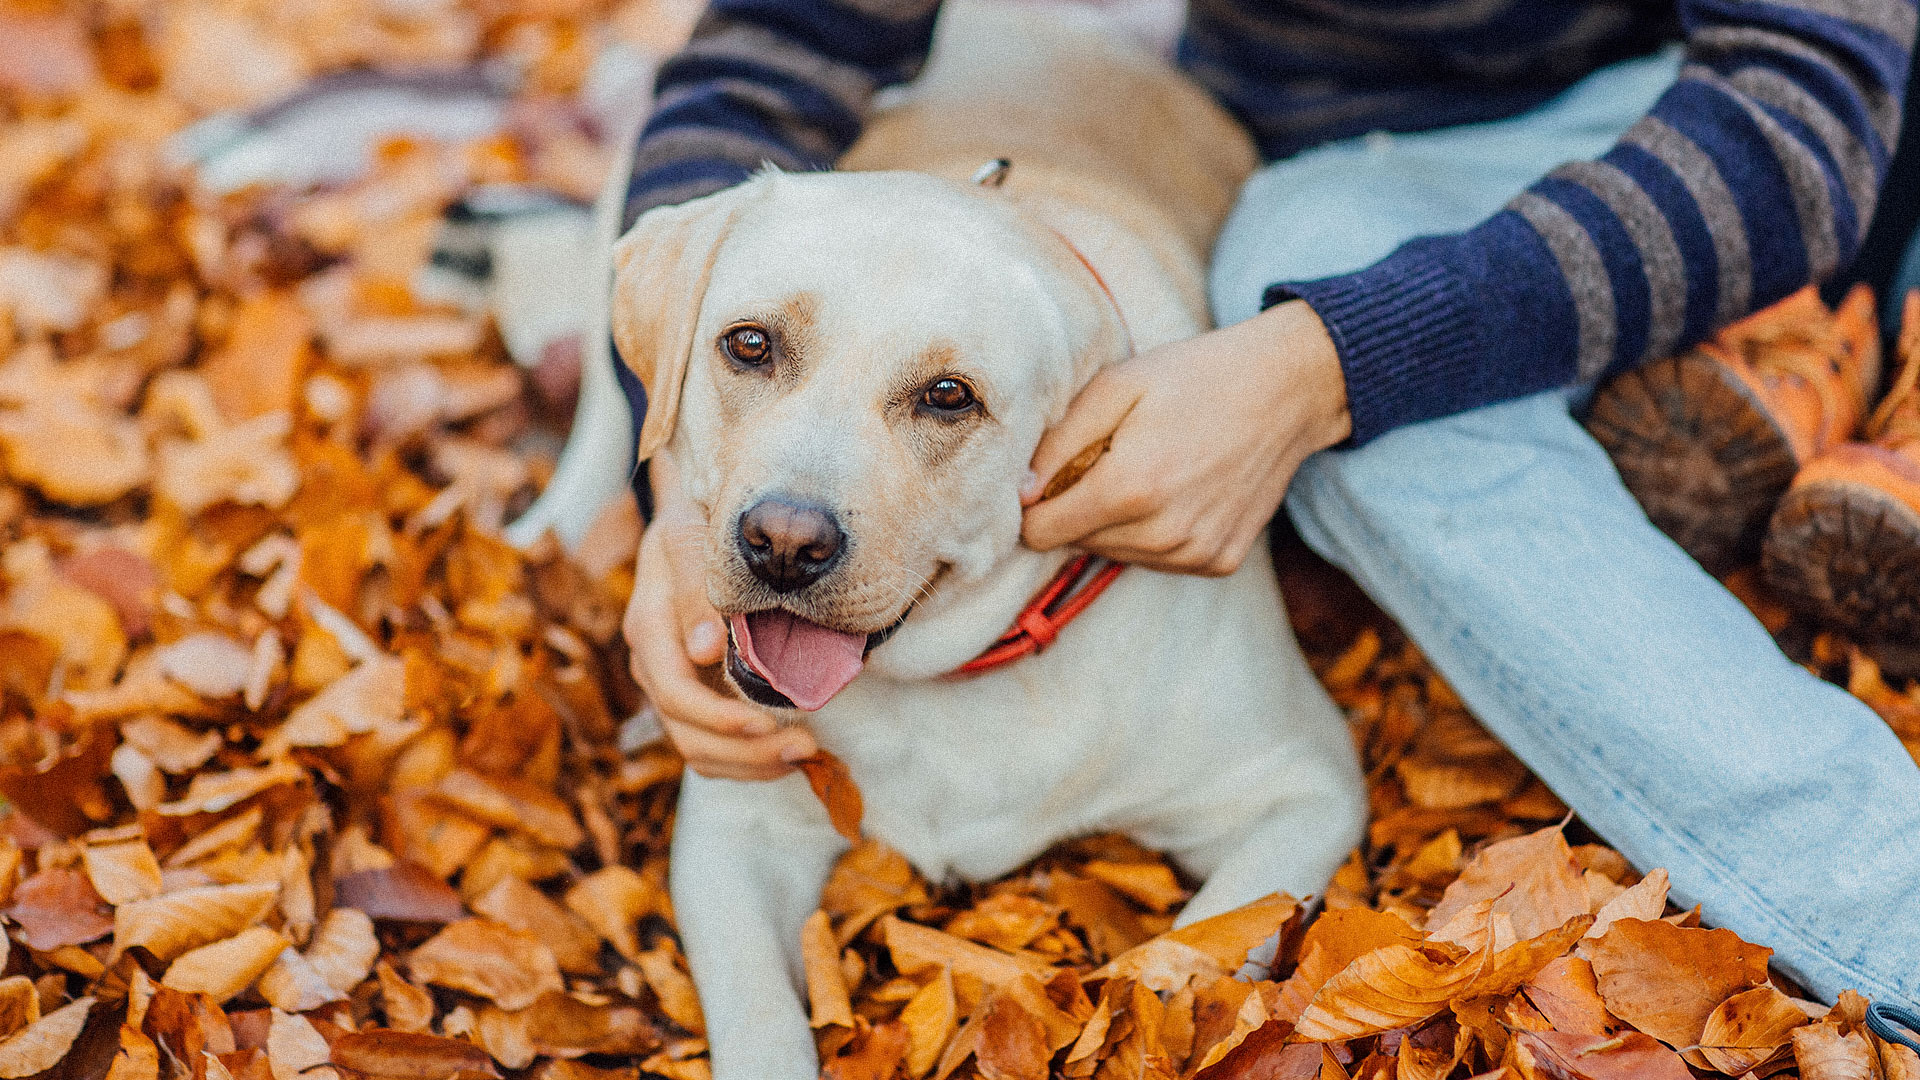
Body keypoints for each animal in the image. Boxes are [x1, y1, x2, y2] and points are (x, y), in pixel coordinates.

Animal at [614, 4, 1367, 1068]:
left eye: (948, 396)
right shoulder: (734, 823)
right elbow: (760, 1021)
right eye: (749, 344)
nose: (784, 543)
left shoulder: (1304, 785)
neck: (948, 685)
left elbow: (1192, 957)